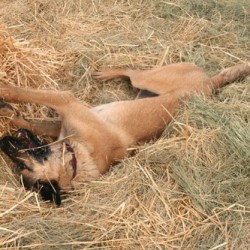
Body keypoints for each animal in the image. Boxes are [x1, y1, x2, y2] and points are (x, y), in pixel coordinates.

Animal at [0, 62, 250, 205]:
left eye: (23, 165)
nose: (3, 142)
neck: (75, 162)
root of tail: (212, 84)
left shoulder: (66, 103)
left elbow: (24, 94)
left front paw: (4, 93)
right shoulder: (60, 124)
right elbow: (34, 123)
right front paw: (10, 114)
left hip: (150, 78)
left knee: (133, 72)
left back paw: (108, 73)